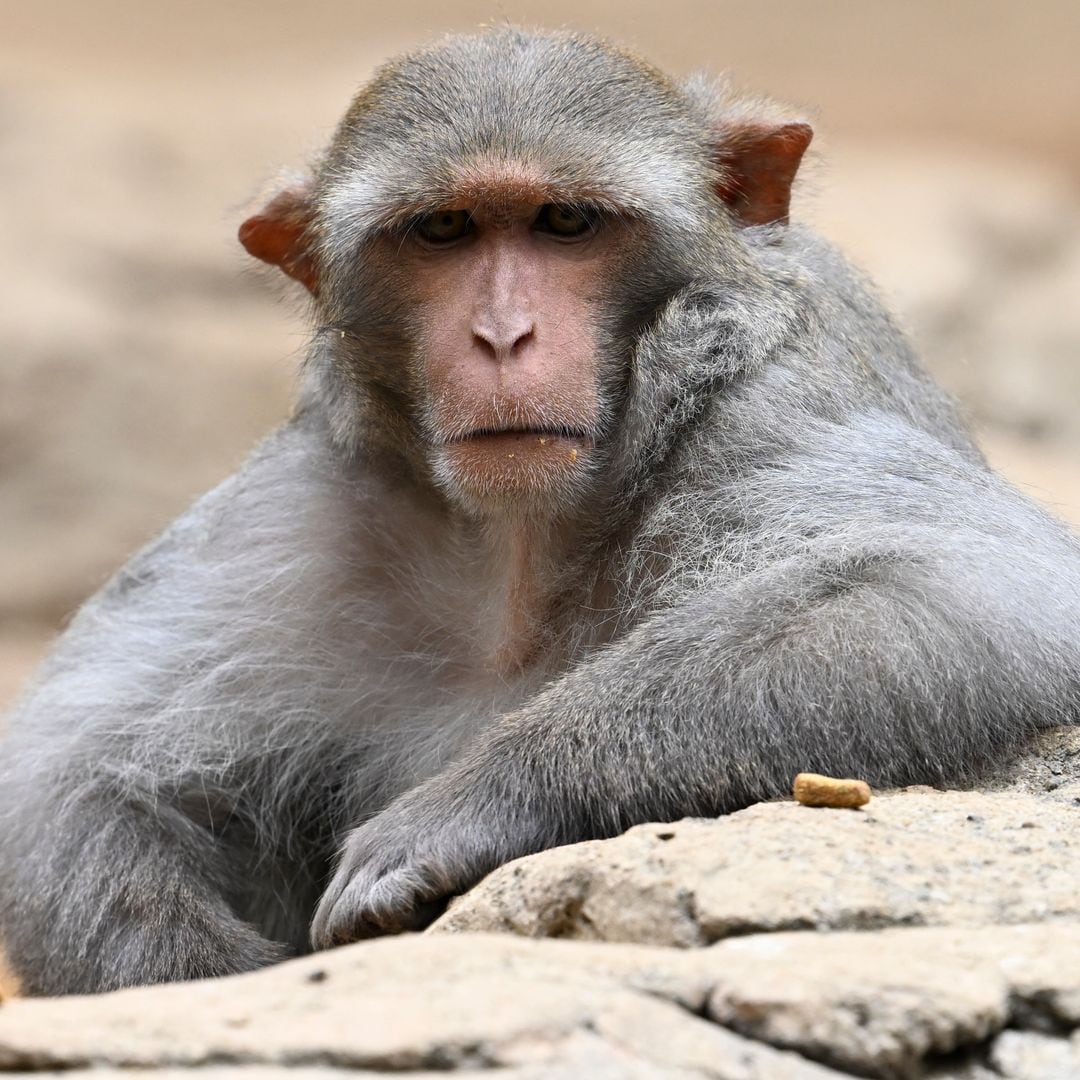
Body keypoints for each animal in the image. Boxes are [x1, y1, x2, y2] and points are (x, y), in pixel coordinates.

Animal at [1, 27, 1079, 997]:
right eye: (443, 232)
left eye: (565, 222)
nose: (502, 335)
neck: (521, 546)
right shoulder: (305, 504)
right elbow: (63, 768)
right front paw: (201, 973)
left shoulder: (770, 402)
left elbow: (959, 578)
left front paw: (474, 801)